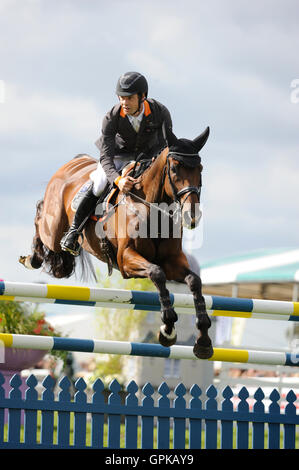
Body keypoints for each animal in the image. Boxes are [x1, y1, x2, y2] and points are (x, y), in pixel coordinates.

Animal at [19, 126, 213, 358]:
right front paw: (167, 329)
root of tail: (74, 162)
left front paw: (203, 339)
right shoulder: (126, 259)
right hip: (54, 231)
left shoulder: (172, 261)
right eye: (174, 169)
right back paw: (32, 258)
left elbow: (194, 281)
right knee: (41, 220)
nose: (191, 216)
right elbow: (157, 273)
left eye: (200, 169)